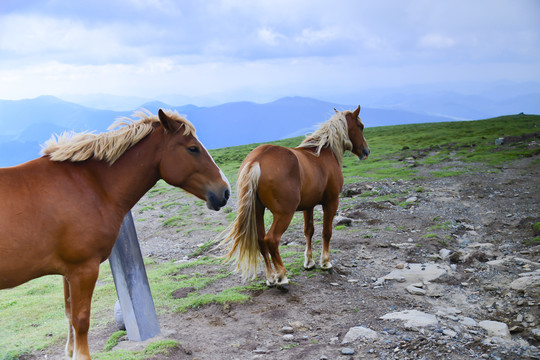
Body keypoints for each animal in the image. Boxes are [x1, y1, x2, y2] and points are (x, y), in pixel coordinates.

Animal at [0, 109, 230, 360]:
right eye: (193, 148)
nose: (225, 191)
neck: (91, 185)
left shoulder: (67, 272)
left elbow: (69, 316)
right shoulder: (83, 269)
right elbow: (81, 321)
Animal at [219, 105, 368, 286]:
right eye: (361, 127)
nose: (366, 151)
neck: (324, 153)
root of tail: (257, 161)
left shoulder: (308, 205)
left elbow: (309, 231)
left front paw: (309, 262)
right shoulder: (331, 202)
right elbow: (326, 232)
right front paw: (325, 262)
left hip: (257, 211)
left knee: (261, 240)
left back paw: (270, 277)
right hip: (284, 214)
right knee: (271, 239)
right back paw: (281, 276)